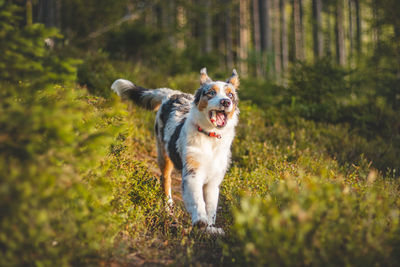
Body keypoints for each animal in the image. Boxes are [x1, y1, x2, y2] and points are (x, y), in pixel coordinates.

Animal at [111, 68, 239, 234]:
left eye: (230, 95)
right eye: (211, 92)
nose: (225, 102)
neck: (210, 137)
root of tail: (172, 93)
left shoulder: (214, 181)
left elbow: (211, 208)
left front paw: (210, 228)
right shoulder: (192, 172)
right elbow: (197, 200)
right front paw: (200, 220)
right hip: (163, 155)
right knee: (165, 180)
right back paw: (168, 208)